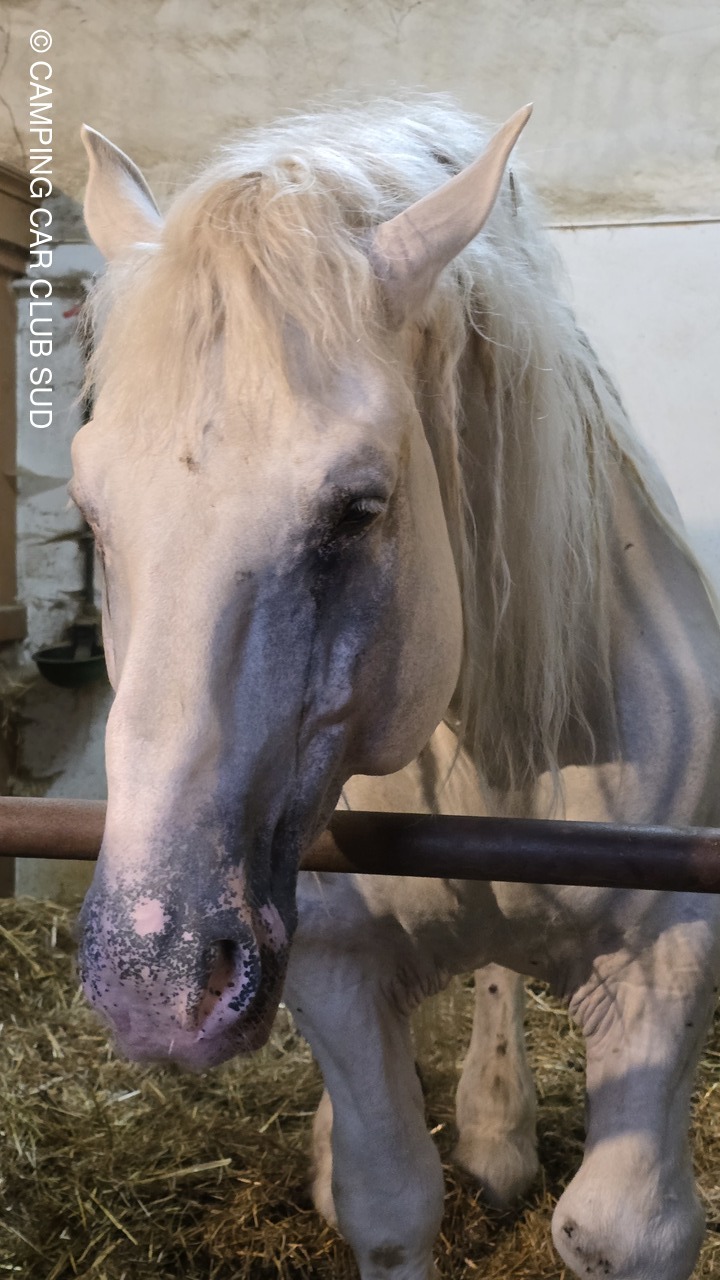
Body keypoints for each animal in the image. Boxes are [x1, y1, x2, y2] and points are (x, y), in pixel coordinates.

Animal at [72, 96, 720, 1280]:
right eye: (92, 513)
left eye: (359, 508)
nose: (158, 978)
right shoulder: (333, 968)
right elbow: (387, 1200)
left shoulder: (665, 958)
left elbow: (621, 1228)